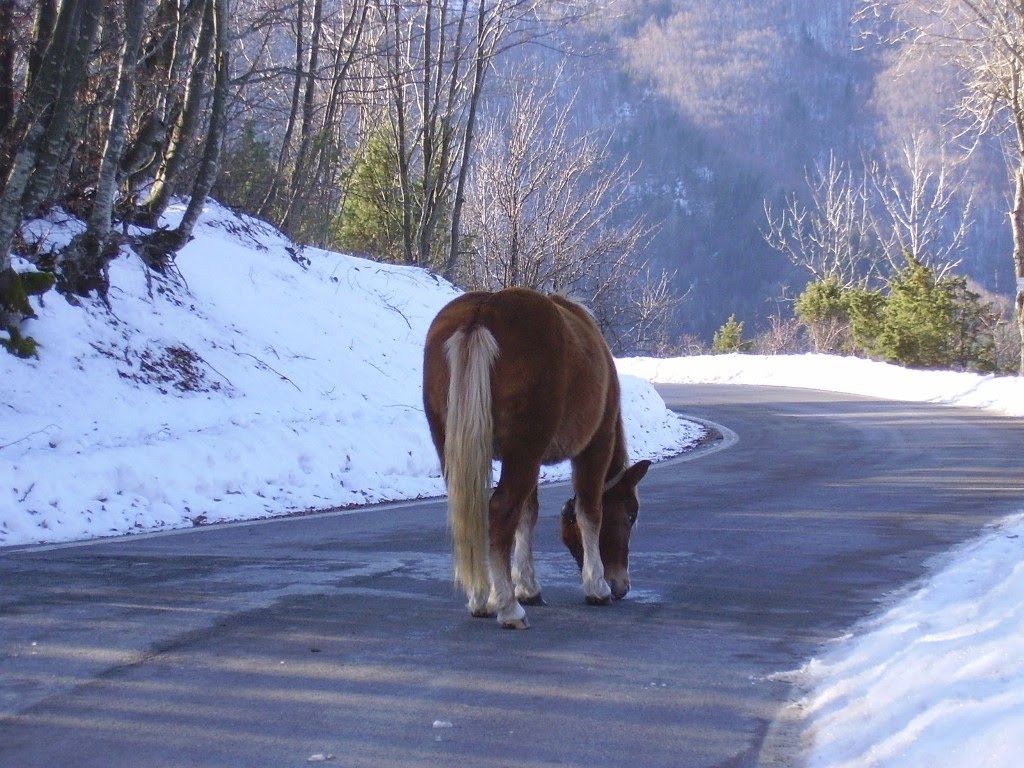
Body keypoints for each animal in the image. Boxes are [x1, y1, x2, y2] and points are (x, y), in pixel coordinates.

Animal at [421, 288, 647, 630]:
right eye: (631, 515)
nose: (621, 586)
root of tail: (481, 313)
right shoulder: (595, 445)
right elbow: (589, 512)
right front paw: (597, 587)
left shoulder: (533, 457)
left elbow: (528, 514)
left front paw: (527, 586)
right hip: (523, 452)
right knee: (500, 511)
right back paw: (508, 609)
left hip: (455, 445)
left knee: (471, 511)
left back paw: (481, 598)